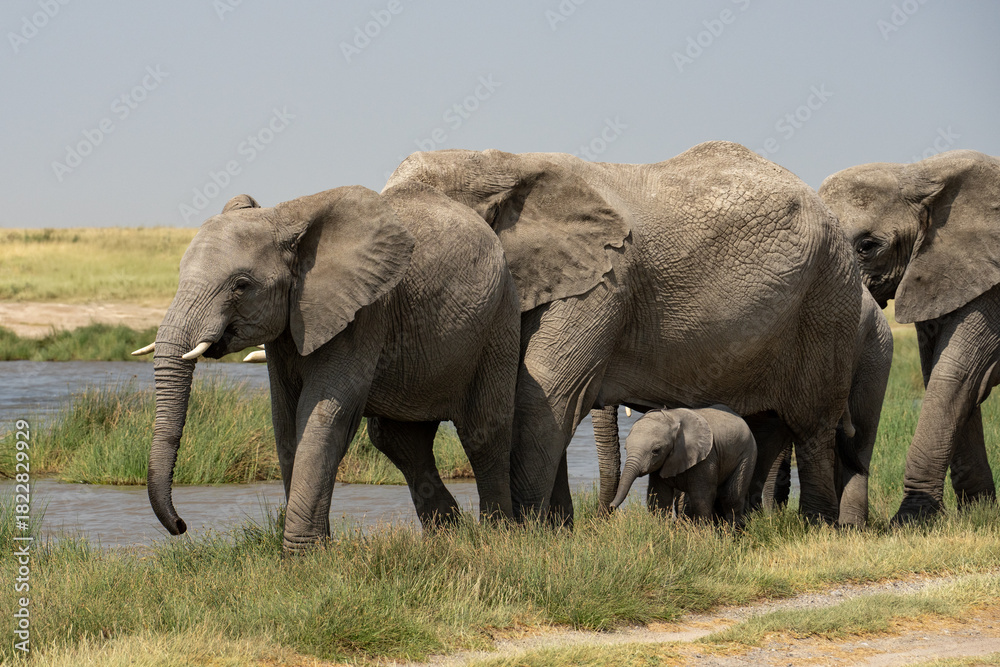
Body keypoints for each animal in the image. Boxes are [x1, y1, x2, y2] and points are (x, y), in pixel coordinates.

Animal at [138, 181, 521, 551]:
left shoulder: (364, 312)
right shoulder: (289, 327)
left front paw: (303, 555)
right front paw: (317, 548)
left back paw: (497, 537)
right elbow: (285, 420)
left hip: (499, 318)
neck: (285, 216)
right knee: (402, 441)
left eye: (241, 286)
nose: (181, 525)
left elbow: (324, 415)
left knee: (483, 432)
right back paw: (448, 536)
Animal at [609, 405, 757, 524]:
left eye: (656, 450)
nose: (611, 506)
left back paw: (732, 533)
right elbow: (660, 498)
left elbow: (700, 498)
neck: (672, 417)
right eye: (625, 448)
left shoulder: (706, 457)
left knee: (731, 497)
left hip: (747, 454)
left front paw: (702, 536)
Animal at [819, 149, 1000, 523]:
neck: (920, 173)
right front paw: (980, 512)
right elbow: (949, 378)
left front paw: (912, 519)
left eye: (867, 246)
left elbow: (955, 374)